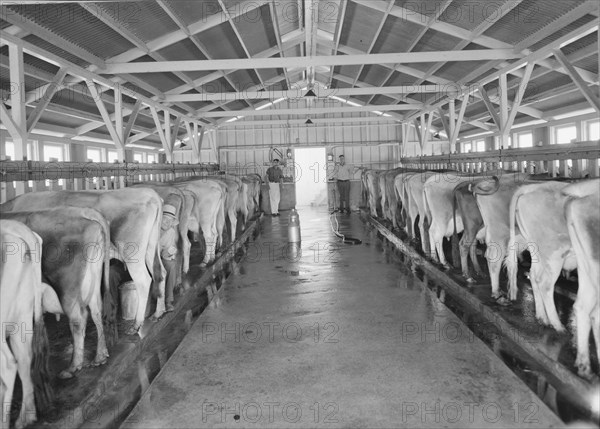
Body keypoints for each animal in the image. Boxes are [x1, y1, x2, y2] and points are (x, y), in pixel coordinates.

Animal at [0, 188, 166, 334]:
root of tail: (149, 193)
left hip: (132, 251)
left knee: (143, 280)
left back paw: (136, 324)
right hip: (150, 246)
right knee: (160, 272)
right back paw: (158, 313)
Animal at [1, 207, 116, 378]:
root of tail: (81, 211)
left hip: (67, 288)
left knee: (79, 319)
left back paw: (73, 366)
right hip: (92, 278)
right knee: (96, 311)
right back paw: (100, 356)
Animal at [504, 181, 576, 332]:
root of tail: (532, 187)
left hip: (537, 250)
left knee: (534, 275)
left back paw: (542, 318)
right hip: (554, 254)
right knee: (545, 284)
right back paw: (558, 325)